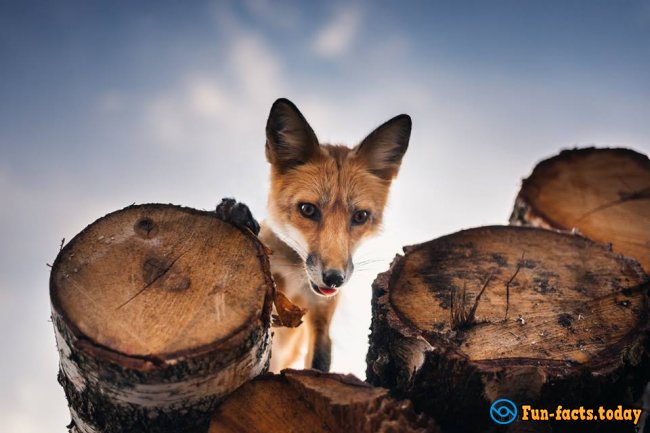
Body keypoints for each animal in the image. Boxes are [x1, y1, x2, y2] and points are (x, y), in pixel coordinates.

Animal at [218, 98, 410, 372]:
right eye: (307, 210)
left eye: (360, 216)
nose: (334, 279)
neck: (295, 281)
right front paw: (239, 215)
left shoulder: (321, 316)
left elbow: (318, 363)